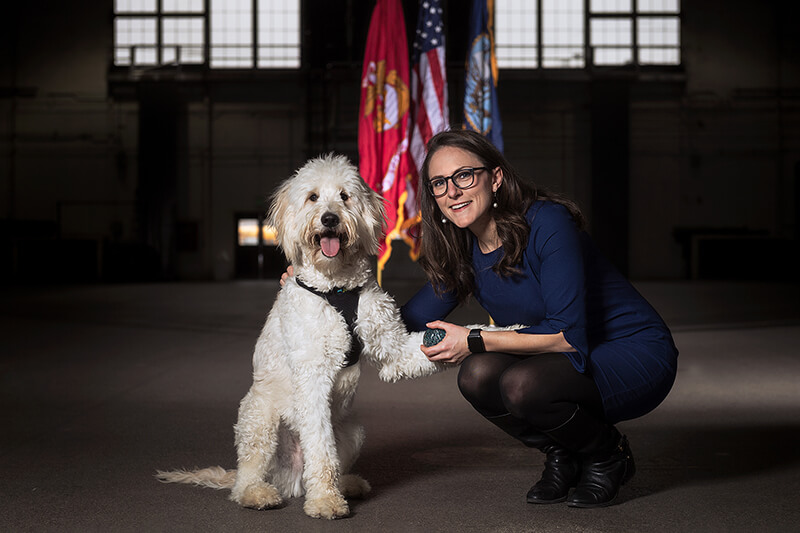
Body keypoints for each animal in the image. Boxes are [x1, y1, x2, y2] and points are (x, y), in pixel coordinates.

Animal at [156, 153, 450, 516]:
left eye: (344, 196)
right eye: (312, 197)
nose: (329, 219)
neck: (336, 287)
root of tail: (291, 479)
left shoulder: (392, 346)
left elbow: (414, 352)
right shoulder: (312, 376)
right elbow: (320, 450)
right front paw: (325, 501)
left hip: (352, 430)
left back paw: (347, 483)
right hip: (259, 420)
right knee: (247, 479)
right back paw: (259, 493)